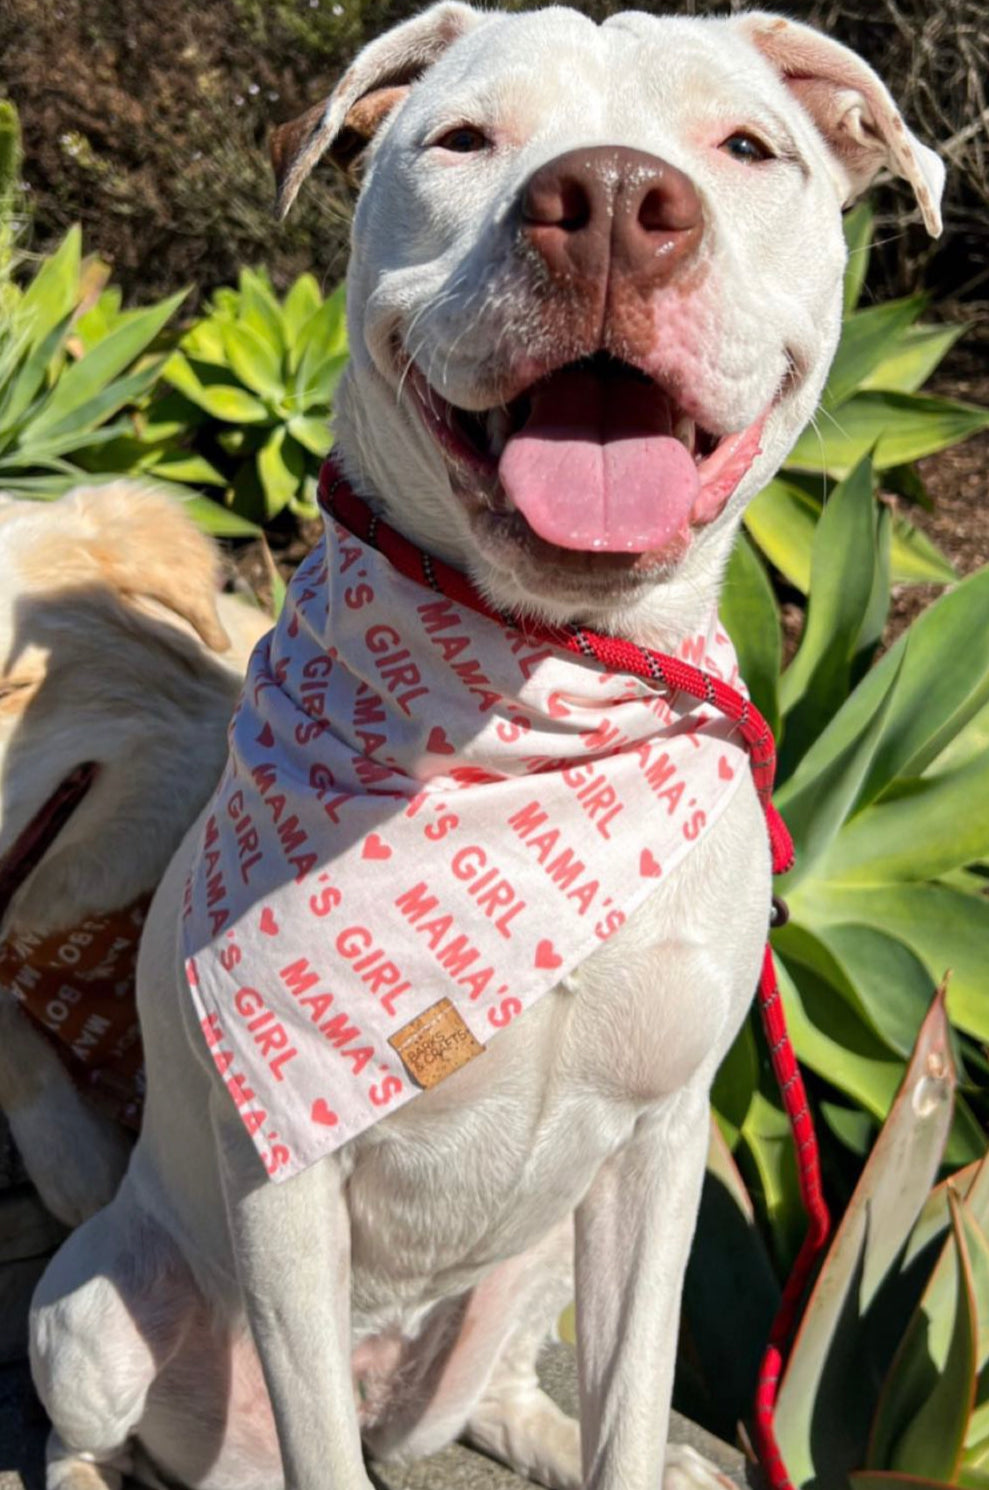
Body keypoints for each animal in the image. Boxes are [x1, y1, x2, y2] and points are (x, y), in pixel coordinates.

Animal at [29, 11, 941, 1490]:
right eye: (462, 139)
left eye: (747, 147)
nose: (616, 202)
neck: (538, 701)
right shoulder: (284, 1186)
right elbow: (320, 1454)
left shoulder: (661, 1146)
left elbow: (634, 1393)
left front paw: (634, 1448)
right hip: (97, 1311)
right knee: (92, 1428)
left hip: (534, 1269)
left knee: (498, 1395)